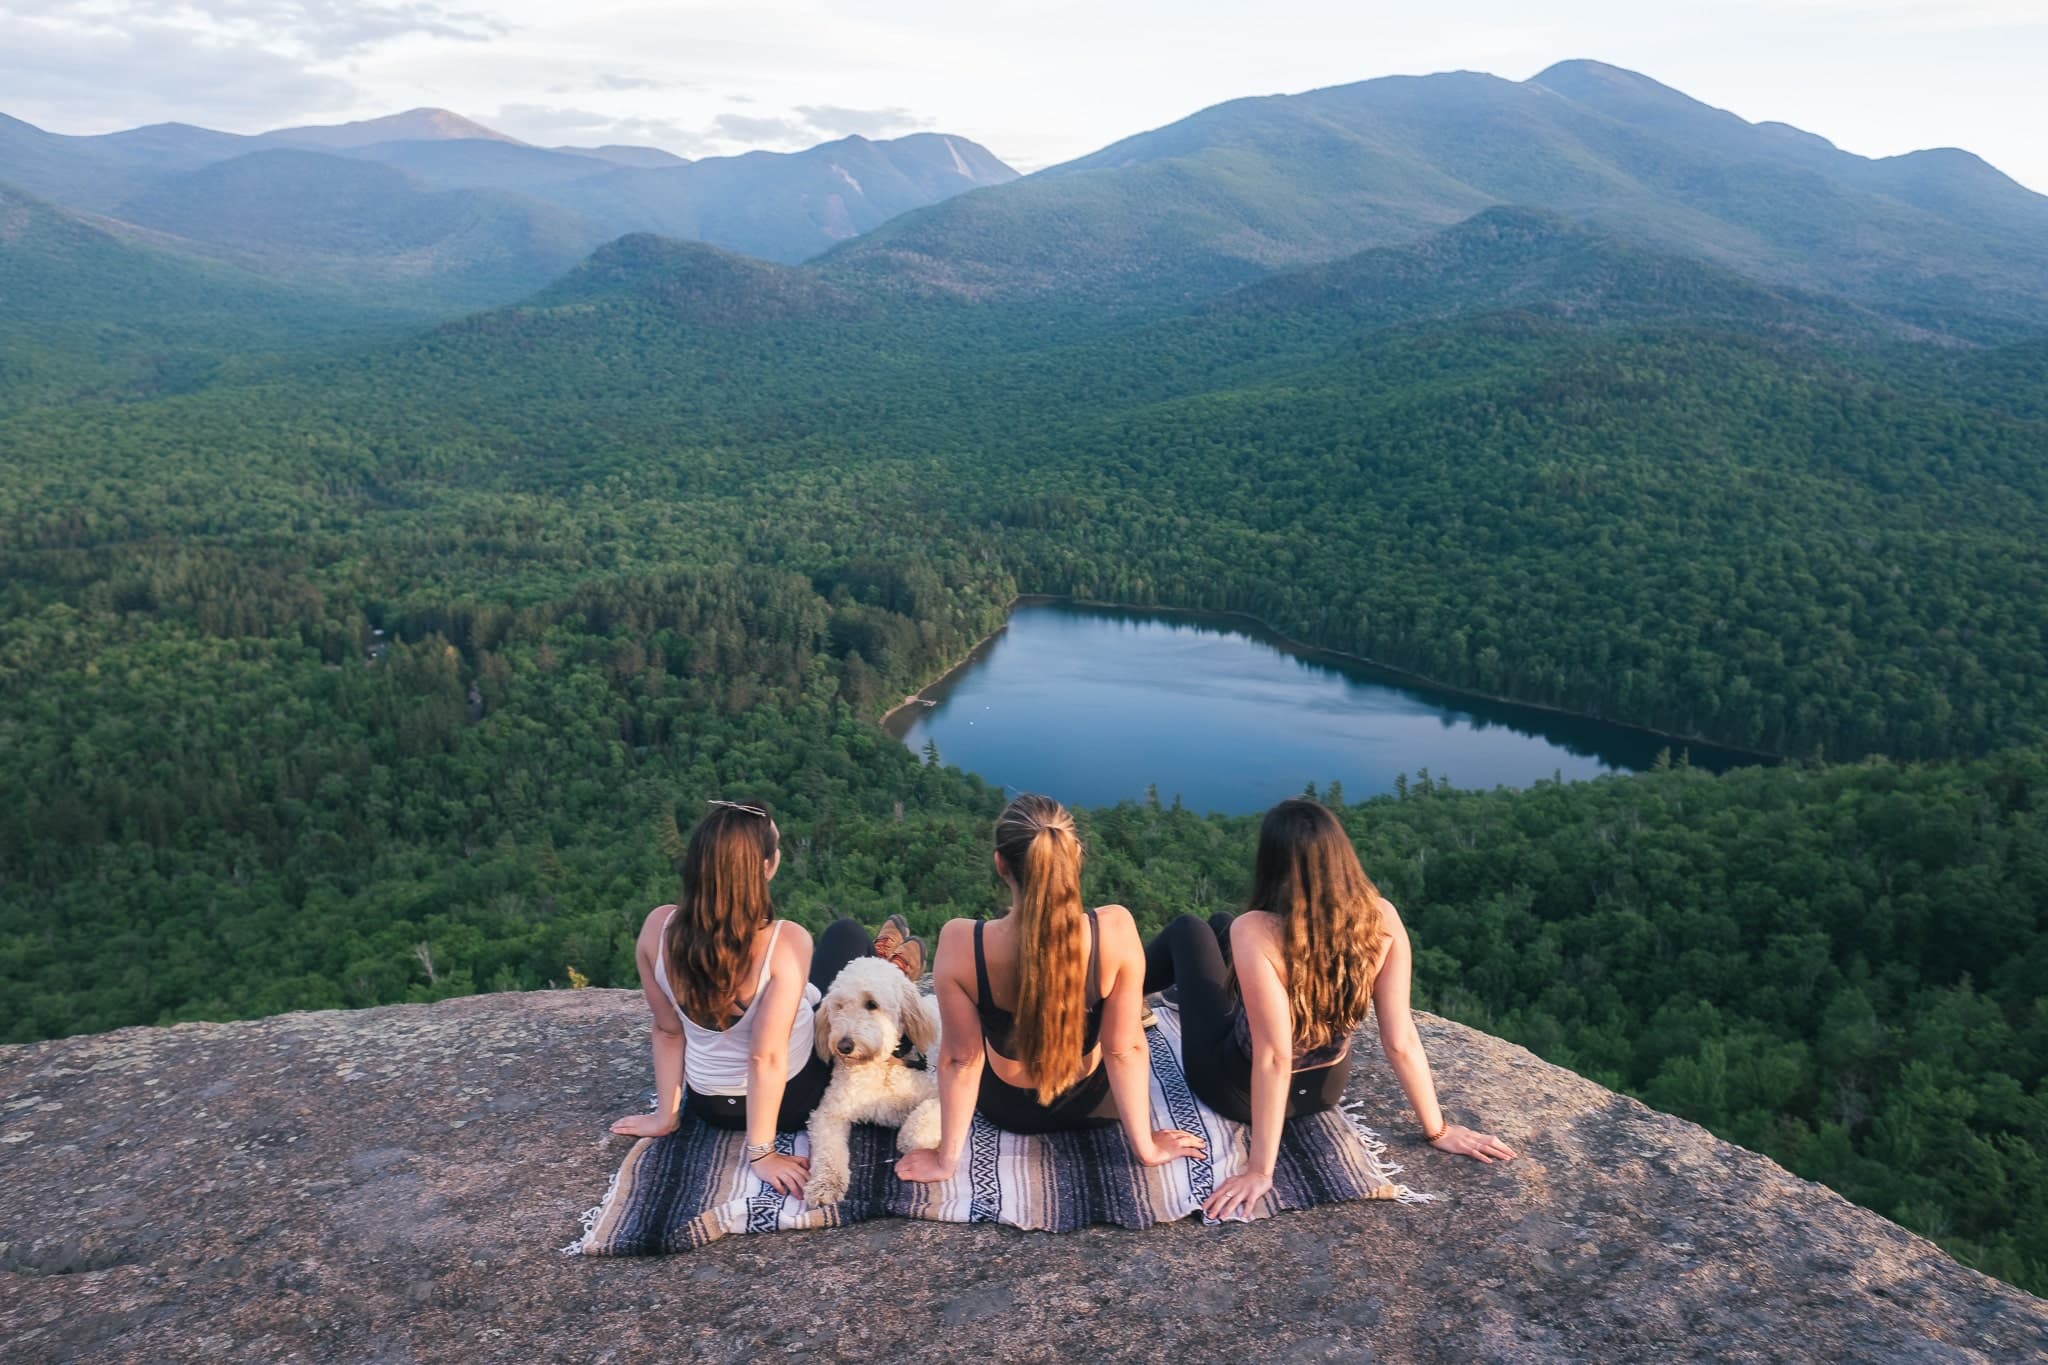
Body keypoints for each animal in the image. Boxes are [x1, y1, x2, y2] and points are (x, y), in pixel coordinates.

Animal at [802, 957, 937, 1203]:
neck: (880, 1065)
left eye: (872, 1004)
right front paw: (825, 1185)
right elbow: (828, 1151)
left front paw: (906, 1138)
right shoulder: (829, 1113)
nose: (844, 1046)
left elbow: (919, 1125)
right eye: (839, 1006)